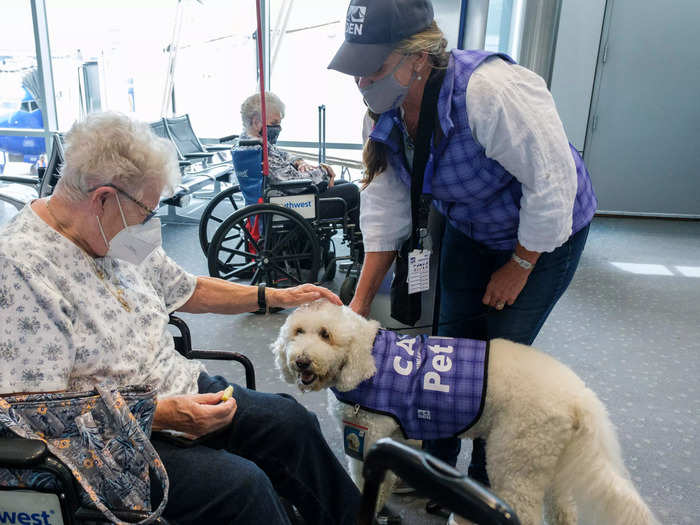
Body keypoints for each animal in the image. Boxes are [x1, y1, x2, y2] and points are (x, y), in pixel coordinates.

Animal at [270, 300, 660, 524]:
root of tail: (579, 395)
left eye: (325, 334)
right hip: (548, 464)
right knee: (565, 511)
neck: (364, 356)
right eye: (298, 331)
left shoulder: (366, 439)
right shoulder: (398, 437)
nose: (301, 361)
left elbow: (367, 486)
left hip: (515, 461)